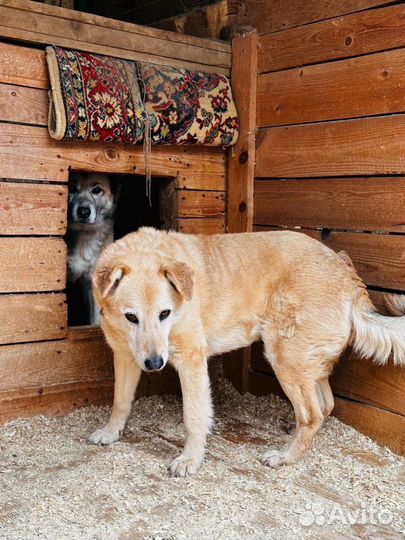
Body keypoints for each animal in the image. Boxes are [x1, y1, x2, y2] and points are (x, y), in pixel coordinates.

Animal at [88, 228, 404, 476]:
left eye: (164, 314)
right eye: (131, 317)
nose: (154, 363)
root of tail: (343, 268)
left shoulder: (192, 360)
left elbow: (194, 416)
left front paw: (190, 459)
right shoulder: (125, 356)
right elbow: (120, 401)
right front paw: (111, 432)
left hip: (284, 358)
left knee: (312, 413)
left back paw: (286, 457)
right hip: (304, 360)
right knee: (325, 404)